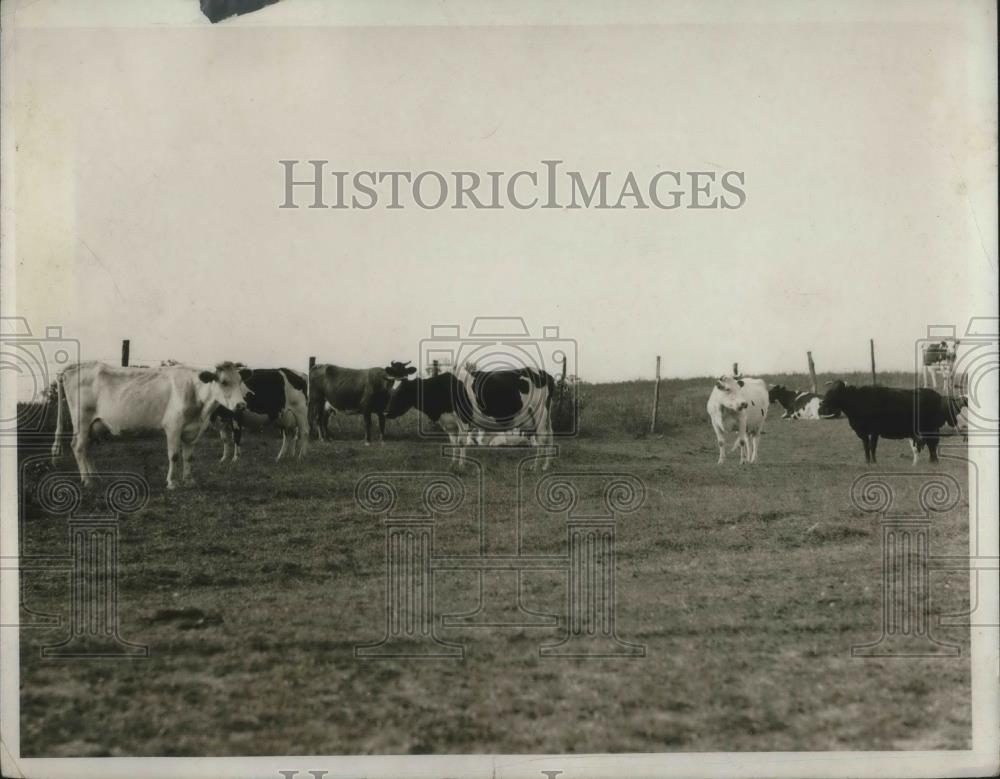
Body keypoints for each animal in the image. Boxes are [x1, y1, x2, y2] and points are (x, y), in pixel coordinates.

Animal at [50, 362, 254, 488]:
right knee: (78, 447)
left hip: (95, 425)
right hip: (81, 421)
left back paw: (96, 477)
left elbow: (189, 457)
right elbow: (174, 456)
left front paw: (189, 480)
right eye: (224, 382)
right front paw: (172, 482)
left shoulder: (193, 430)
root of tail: (79, 365)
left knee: (87, 449)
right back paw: (87, 481)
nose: (241, 405)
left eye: (240, 380)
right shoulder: (173, 426)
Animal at [384, 368, 560, 470]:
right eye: (393, 391)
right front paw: (453, 464)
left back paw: (536, 465)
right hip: (545, 417)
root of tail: (545, 374)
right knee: (550, 436)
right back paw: (547, 465)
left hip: (539, 413)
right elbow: (453, 443)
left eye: (400, 392)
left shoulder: (463, 419)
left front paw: (461, 465)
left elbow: (462, 442)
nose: (385, 412)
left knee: (542, 438)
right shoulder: (450, 423)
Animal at [816, 380, 948, 466]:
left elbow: (872, 446)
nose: (821, 406)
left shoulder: (874, 431)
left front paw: (874, 462)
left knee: (932, 443)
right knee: (931, 444)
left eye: (837, 391)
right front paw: (867, 462)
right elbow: (866, 446)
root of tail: (937, 395)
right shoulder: (863, 432)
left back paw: (934, 461)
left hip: (931, 428)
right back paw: (932, 461)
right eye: (828, 390)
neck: (859, 400)